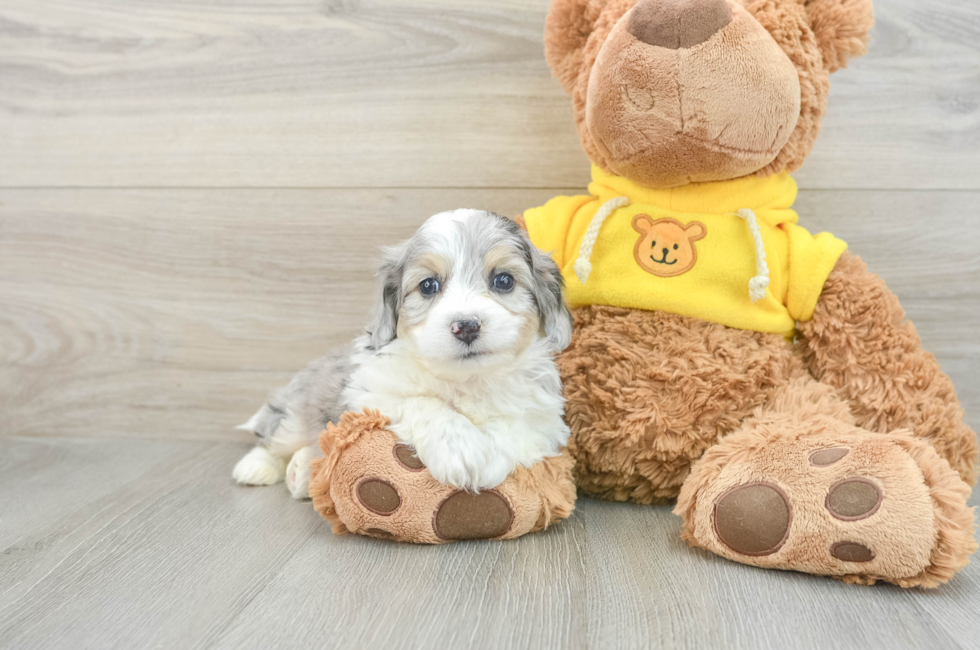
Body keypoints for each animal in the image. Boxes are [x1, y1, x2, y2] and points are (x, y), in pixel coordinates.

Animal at [233, 208, 572, 496]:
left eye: (503, 280)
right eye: (428, 286)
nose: (466, 326)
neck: (467, 380)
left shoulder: (545, 420)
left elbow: (516, 427)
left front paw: (491, 459)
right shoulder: (368, 392)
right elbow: (422, 403)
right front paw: (460, 448)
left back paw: (302, 472)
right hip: (296, 413)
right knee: (275, 432)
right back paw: (257, 467)